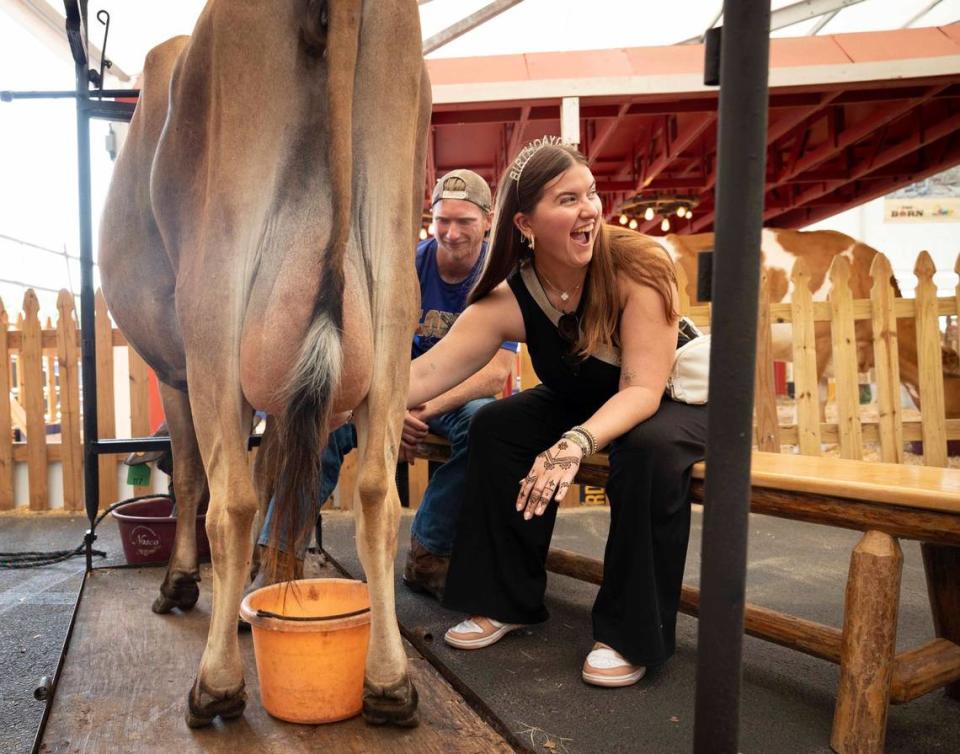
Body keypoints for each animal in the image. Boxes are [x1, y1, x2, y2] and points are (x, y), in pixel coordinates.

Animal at [98, 0, 428, 728]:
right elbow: (284, 475)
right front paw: (274, 584)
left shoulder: (174, 372)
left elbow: (191, 478)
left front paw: (181, 582)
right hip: (395, 290)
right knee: (376, 496)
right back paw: (389, 684)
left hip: (213, 300)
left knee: (232, 503)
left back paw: (215, 684)